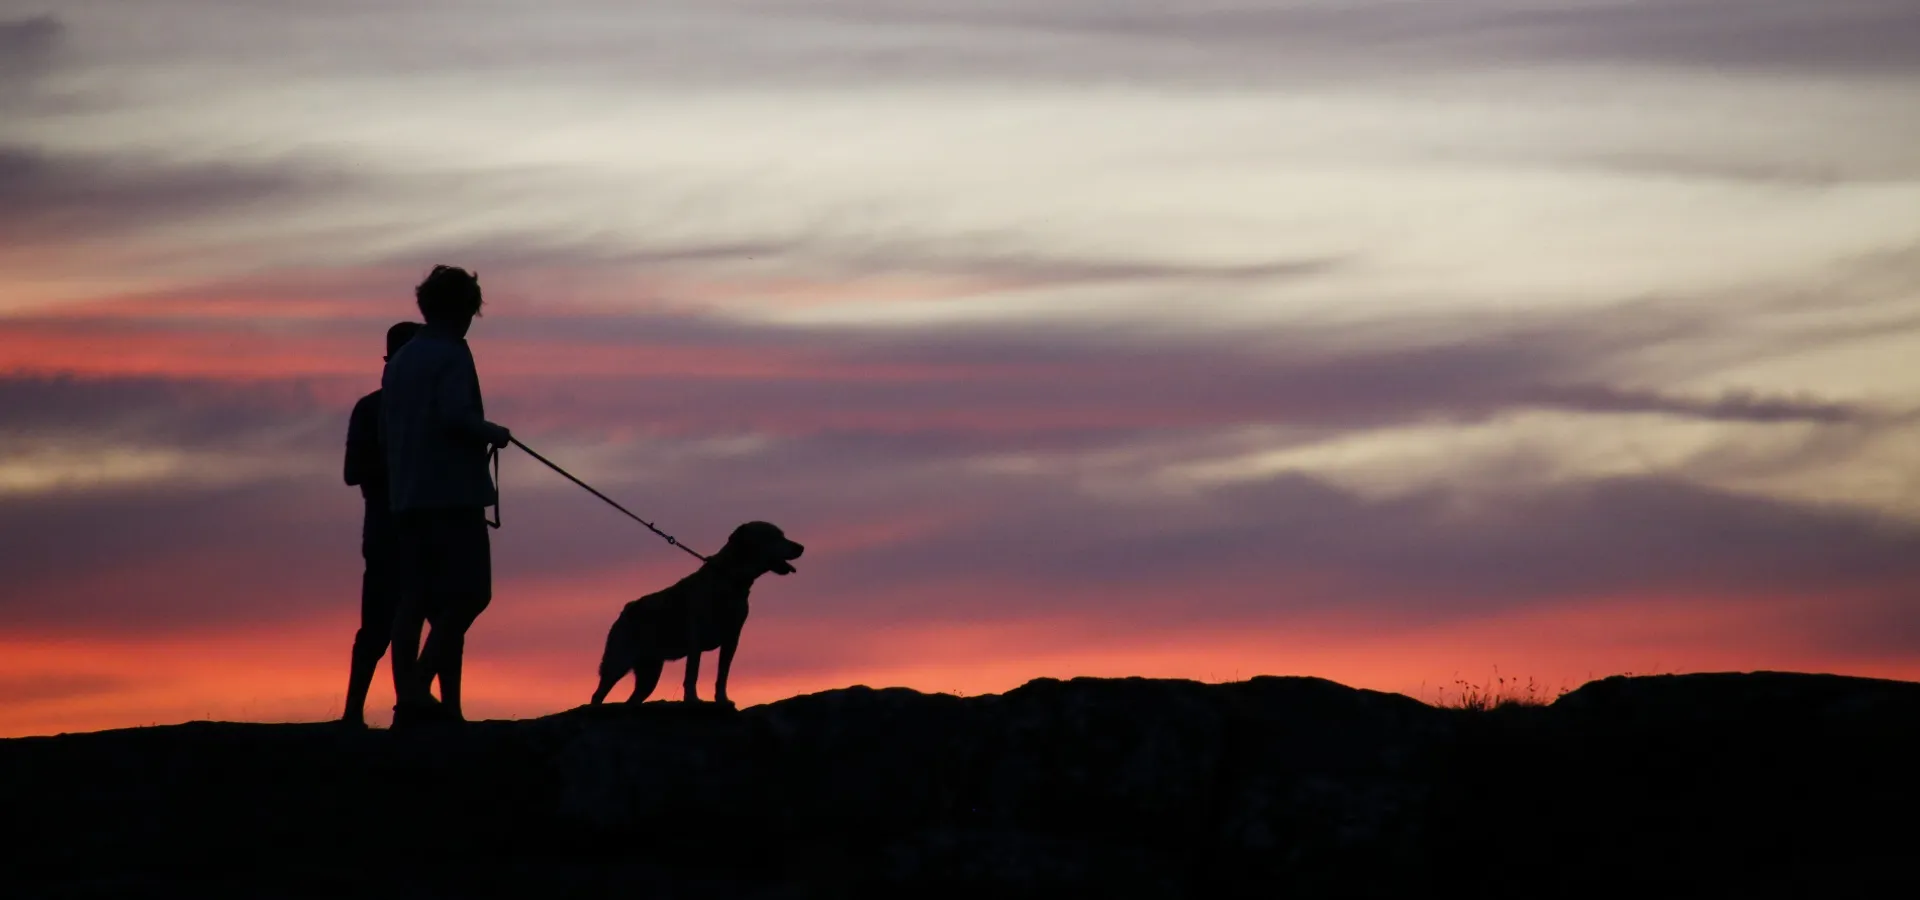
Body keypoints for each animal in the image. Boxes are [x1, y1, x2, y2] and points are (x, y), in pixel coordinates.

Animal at [583, 521, 794, 706]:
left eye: (783, 535)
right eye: (774, 537)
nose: (799, 547)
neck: (728, 578)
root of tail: (626, 610)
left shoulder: (731, 639)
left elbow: (722, 675)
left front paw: (722, 699)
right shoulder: (696, 638)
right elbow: (692, 673)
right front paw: (692, 699)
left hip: (650, 672)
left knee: (633, 699)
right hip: (618, 661)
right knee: (598, 694)